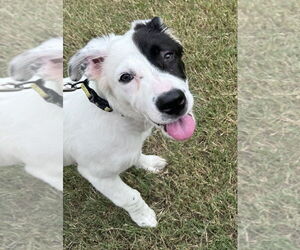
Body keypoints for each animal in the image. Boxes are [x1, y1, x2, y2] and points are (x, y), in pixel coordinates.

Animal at [64, 17, 196, 227]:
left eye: (168, 55)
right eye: (125, 77)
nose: (173, 102)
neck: (109, 110)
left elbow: (136, 155)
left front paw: (149, 163)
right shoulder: (97, 174)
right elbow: (130, 197)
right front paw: (144, 217)